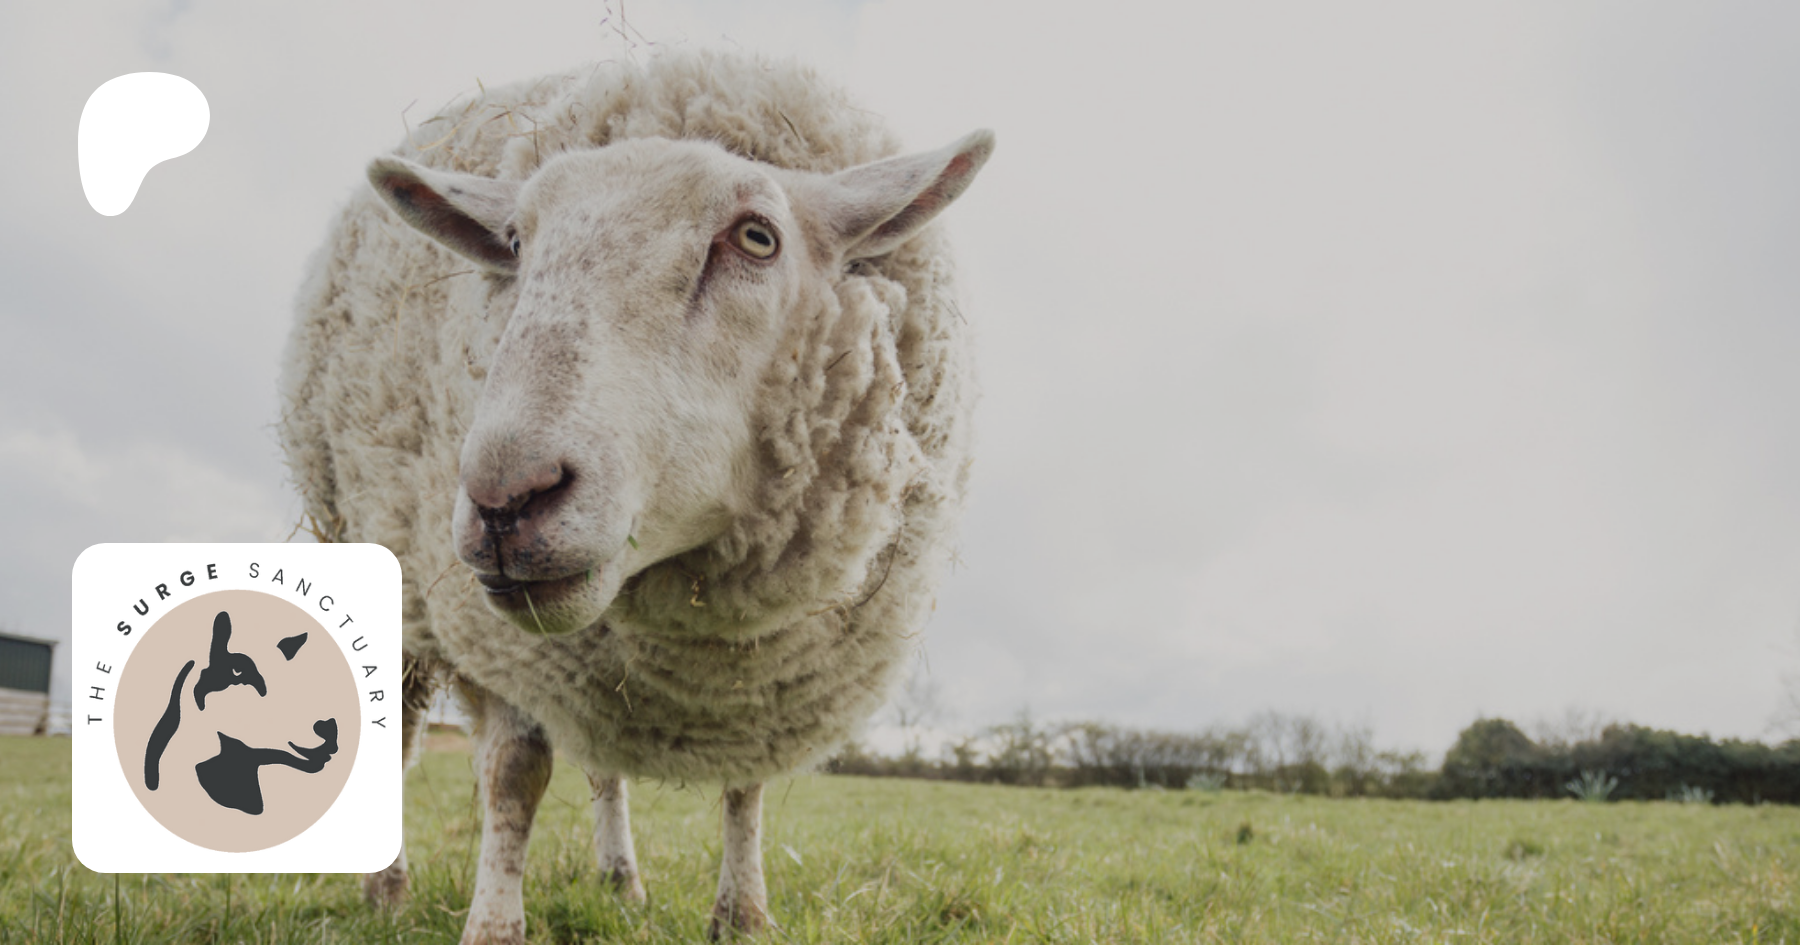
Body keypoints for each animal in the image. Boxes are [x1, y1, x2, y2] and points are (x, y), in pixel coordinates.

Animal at [278, 49, 991, 942]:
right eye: (516, 243)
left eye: (758, 237)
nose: (505, 498)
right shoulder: (492, 631)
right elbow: (513, 772)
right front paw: (494, 924)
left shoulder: (759, 672)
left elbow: (745, 782)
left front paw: (743, 911)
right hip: (384, 559)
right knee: (402, 728)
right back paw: (388, 886)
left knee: (599, 764)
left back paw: (620, 877)